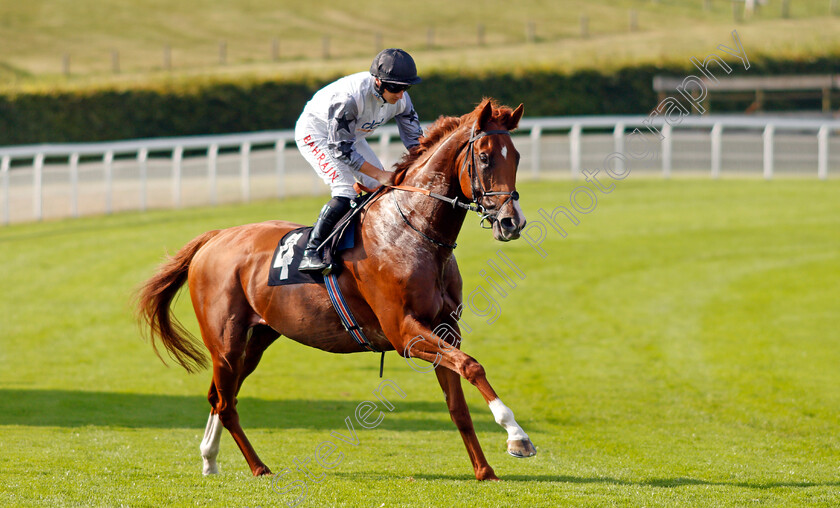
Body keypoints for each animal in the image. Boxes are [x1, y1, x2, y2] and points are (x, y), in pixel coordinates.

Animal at [135, 98, 536, 480]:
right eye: (484, 156)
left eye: (516, 156)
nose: (511, 222)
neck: (413, 231)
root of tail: (215, 237)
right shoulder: (405, 333)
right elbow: (472, 366)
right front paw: (517, 437)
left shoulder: (445, 329)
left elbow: (458, 406)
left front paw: (484, 470)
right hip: (225, 342)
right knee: (226, 403)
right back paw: (257, 466)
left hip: (259, 337)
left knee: (220, 395)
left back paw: (210, 458)